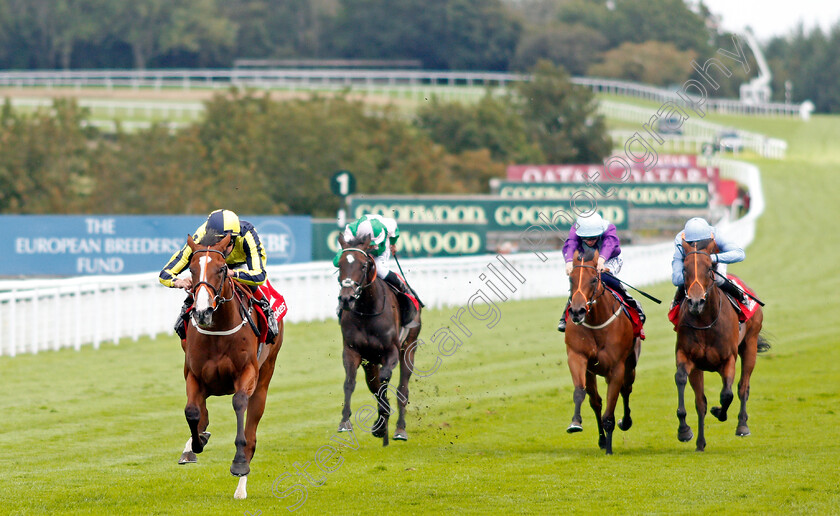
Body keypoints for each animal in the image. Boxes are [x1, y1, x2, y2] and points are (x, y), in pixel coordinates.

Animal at [176, 233, 284, 496]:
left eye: (222, 268)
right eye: (191, 269)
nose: (202, 311)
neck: (218, 330)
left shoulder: (247, 373)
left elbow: (239, 404)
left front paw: (239, 463)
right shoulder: (194, 375)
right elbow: (192, 412)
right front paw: (195, 444)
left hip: (265, 377)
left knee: (252, 431)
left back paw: (241, 487)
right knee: (201, 413)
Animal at [336, 235, 424, 448]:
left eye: (363, 265)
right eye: (340, 265)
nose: (346, 298)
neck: (367, 310)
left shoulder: (391, 351)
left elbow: (385, 380)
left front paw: (384, 419)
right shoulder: (352, 351)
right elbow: (350, 383)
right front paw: (345, 422)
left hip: (409, 347)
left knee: (402, 389)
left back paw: (400, 429)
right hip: (370, 361)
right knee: (374, 385)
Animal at [564, 248, 644, 454]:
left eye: (593, 279)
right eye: (571, 279)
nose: (577, 311)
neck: (595, 322)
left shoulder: (617, 368)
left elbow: (610, 413)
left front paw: (609, 449)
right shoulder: (577, 357)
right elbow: (581, 392)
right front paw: (575, 423)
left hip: (630, 365)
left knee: (626, 389)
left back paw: (625, 422)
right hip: (592, 372)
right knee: (596, 402)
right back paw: (601, 439)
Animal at [676, 238, 768, 452]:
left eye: (710, 267)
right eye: (684, 269)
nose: (695, 302)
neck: (705, 322)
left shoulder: (728, 359)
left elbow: (727, 394)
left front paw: (719, 411)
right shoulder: (687, 357)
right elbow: (683, 382)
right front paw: (684, 430)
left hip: (750, 344)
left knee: (743, 386)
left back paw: (742, 425)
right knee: (700, 402)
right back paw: (700, 443)